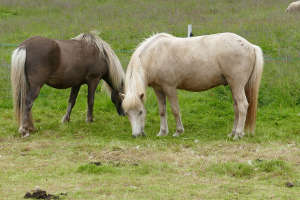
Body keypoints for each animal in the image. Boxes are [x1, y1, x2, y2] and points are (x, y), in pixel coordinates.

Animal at [121, 32, 262, 140]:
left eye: (140, 112)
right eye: (127, 113)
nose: (136, 135)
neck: (154, 55)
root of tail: (250, 46)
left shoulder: (170, 88)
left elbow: (175, 110)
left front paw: (178, 131)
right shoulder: (158, 89)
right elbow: (162, 111)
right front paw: (162, 132)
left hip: (237, 85)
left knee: (242, 106)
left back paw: (238, 134)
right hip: (234, 87)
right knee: (237, 107)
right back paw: (232, 133)